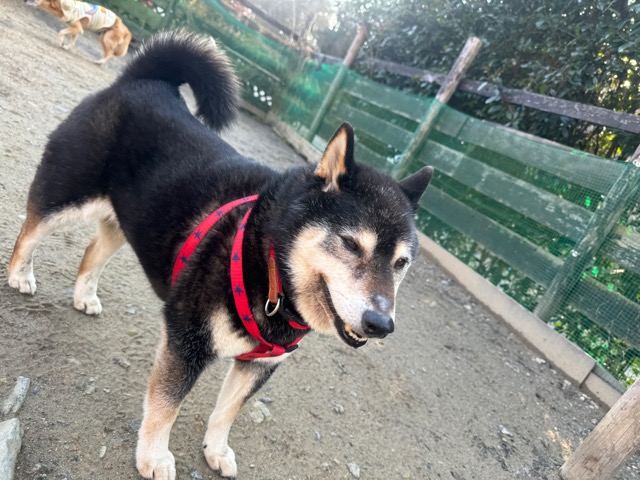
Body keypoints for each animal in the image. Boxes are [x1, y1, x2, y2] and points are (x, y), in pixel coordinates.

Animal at [7, 31, 433, 479]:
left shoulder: (260, 364)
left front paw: (216, 448)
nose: (380, 324)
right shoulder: (187, 339)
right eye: (352, 244)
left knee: (93, 249)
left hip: (131, 218)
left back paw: (85, 295)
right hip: (67, 195)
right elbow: (166, 406)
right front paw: (154, 457)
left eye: (401, 263)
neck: (268, 264)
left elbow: (228, 410)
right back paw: (20, 275)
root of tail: (143, 81)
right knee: (30, 228)